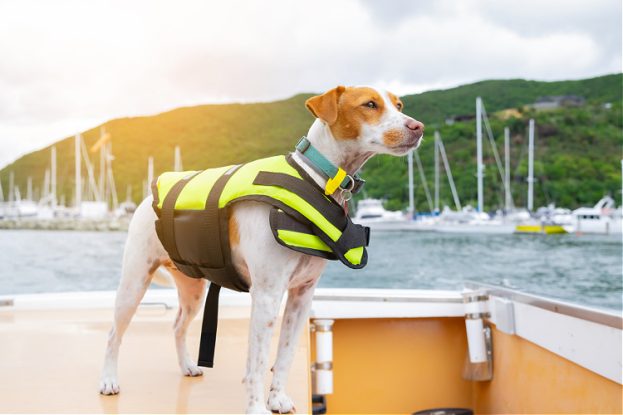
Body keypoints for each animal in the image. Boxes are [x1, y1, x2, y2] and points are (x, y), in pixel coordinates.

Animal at [100, 84, 426, 412]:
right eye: (369, 104)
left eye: (399, 105)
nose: (418, 127)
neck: (317, 178)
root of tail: (146, 199)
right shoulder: (267, 295)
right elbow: (256, 362)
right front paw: (257, 407)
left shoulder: (302, 295)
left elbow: (285, 354)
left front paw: (278, 397)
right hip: (134, 283)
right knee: (114, 334)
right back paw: (109, 381)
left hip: (193, 290)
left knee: (178, 326)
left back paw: (188, 366)